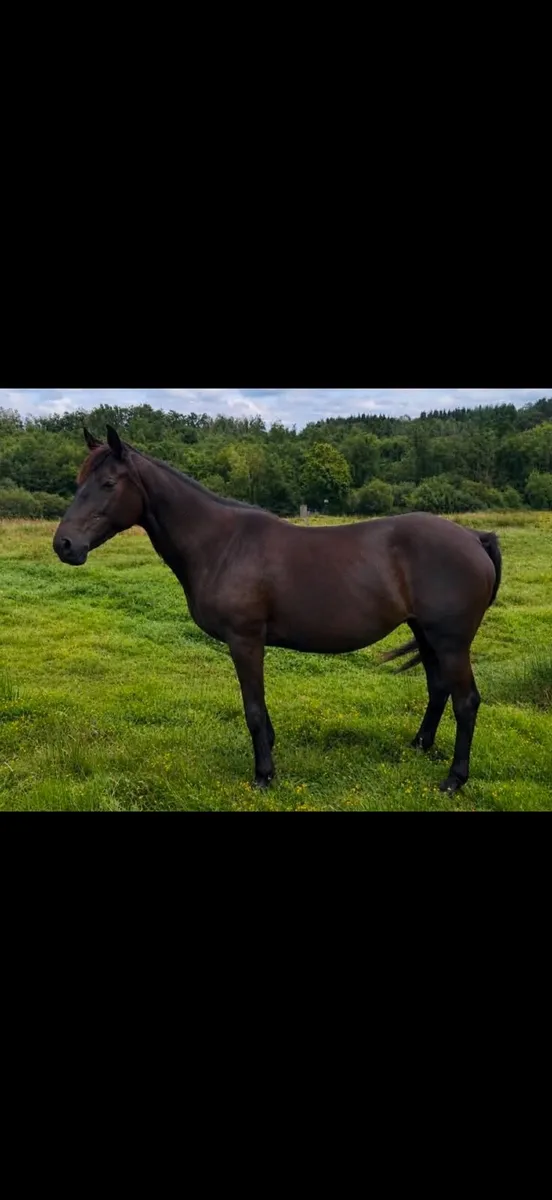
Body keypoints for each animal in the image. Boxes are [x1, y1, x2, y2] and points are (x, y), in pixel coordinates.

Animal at [53, 426, 502, 796]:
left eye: (108, 483)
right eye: (79, 483)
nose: (65, 545)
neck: (222, 544)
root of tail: (473, 538)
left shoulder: (245, 641)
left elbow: (253, 708)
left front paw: (264, 775)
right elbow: (261, 710)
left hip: (450, 642)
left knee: (466, 701)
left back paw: (454, 780)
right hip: (426, 634)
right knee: (438, 689)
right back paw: (419, 747)